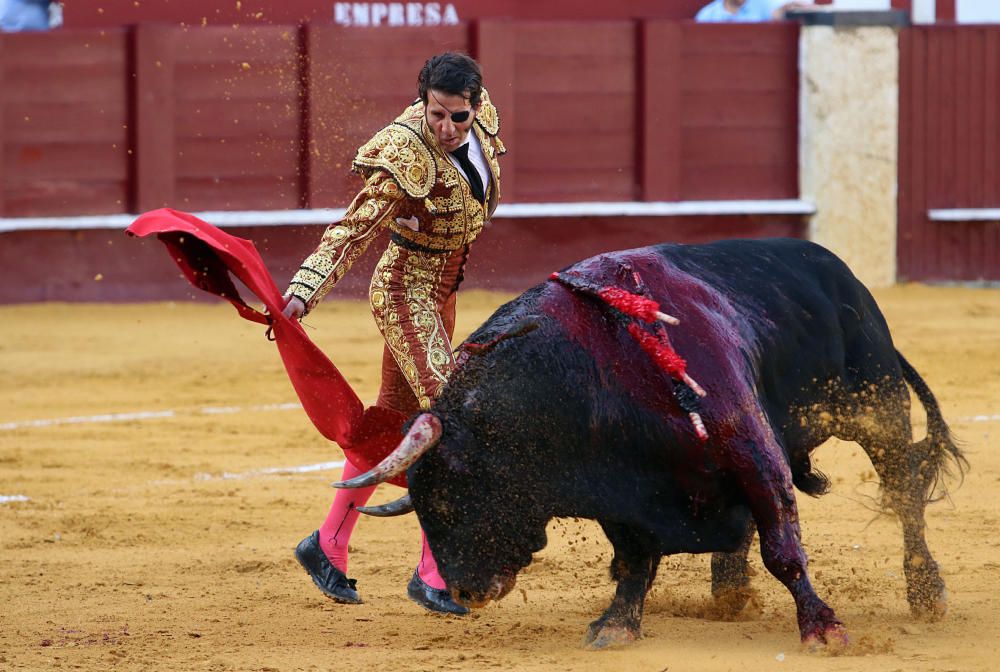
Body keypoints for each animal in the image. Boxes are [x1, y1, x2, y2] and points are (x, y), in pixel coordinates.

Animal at [340, 238, 964, 652]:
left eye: (451, 498)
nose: (465, 592)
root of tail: (843, 274)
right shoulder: (621, 494)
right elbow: (636, 557)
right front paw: (615, 625)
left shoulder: (754, 451)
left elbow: (783, 546)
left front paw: (823, 628)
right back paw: (729, 593)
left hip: (877, 406)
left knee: (904, 495)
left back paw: (927, 592)